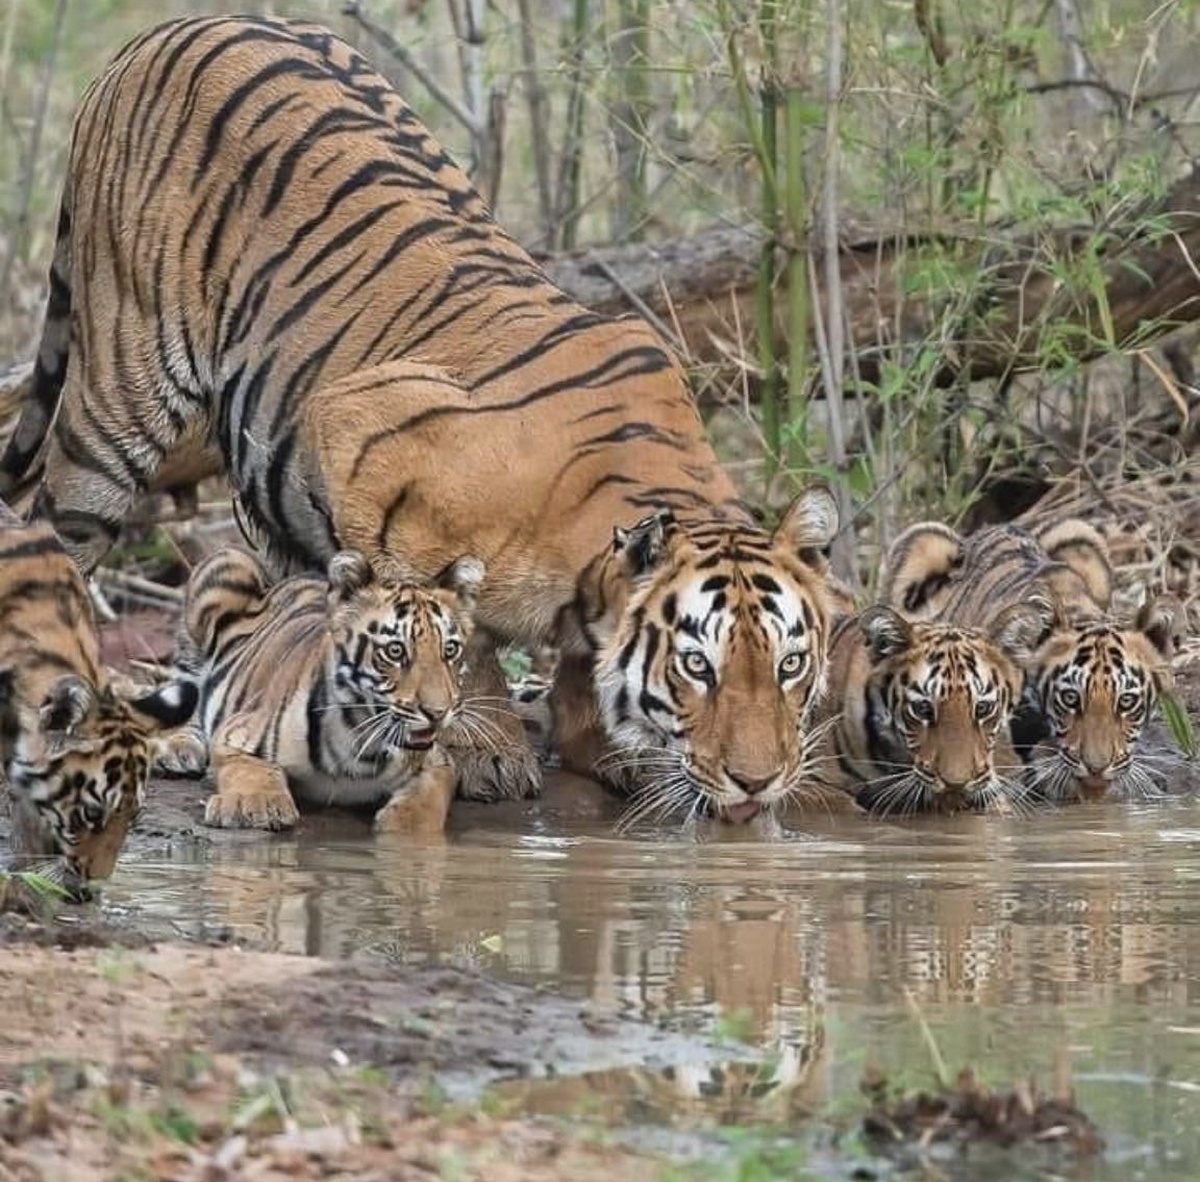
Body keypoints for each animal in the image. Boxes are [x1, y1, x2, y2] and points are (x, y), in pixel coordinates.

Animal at [0, 13, 844, 820]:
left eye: (791, 665)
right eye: (698, 665)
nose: (758, 781)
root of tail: (161, 32)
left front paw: (601, 744)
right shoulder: (361, 432)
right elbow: (454, 624)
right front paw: (488, 749)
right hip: (116, 400)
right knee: (59, 530)